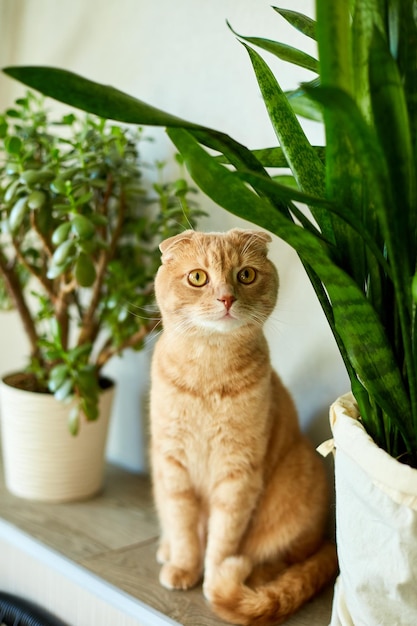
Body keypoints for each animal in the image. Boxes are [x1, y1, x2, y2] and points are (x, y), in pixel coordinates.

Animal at [149, 229, 334, 624]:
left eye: (245, 275)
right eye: (198, 277)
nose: (226, 297)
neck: (208, 372)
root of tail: (328, 541)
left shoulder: (237, 474)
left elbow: (222, 540)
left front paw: (212, 577)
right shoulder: (172, 465)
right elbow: (184, 527)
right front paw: (183, 567)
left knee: (282, 562)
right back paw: (167, 549)